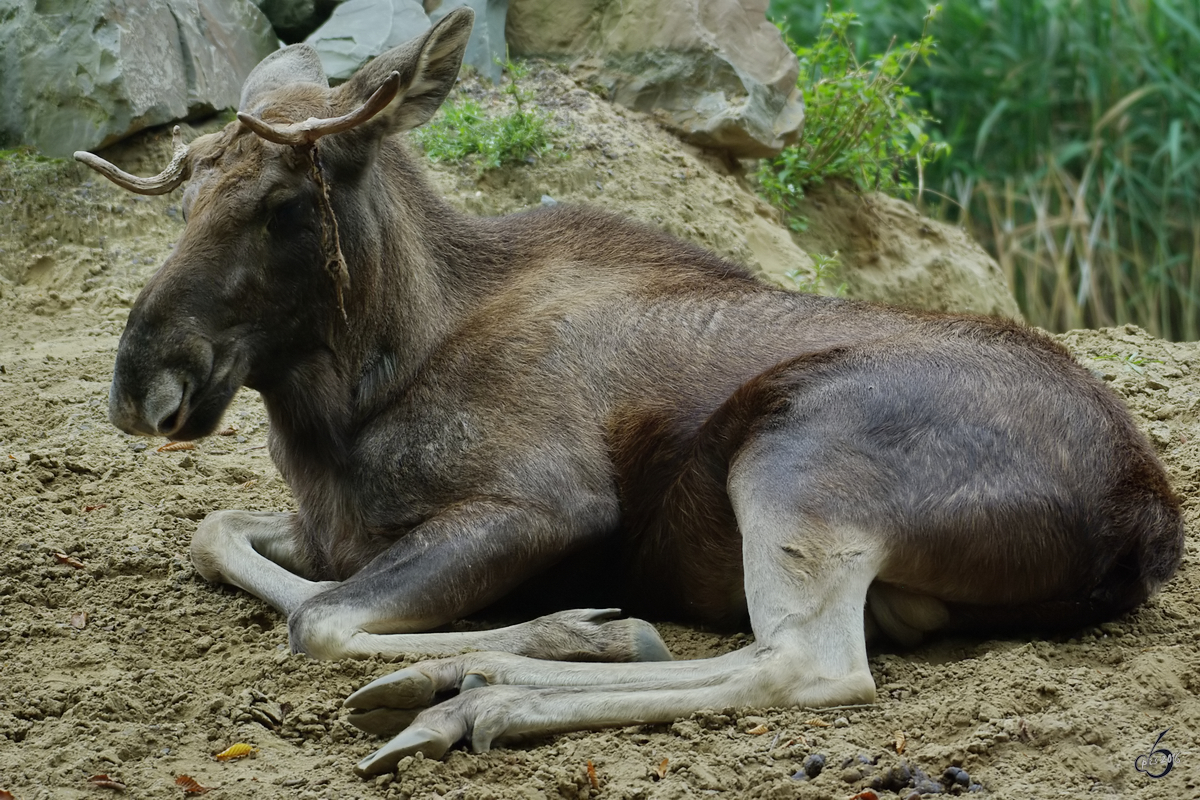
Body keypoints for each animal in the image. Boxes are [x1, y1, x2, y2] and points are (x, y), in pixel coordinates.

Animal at [79, 6, 1185, 777]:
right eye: (184, 199)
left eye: (280, 207)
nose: (141, 383)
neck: (357, 397)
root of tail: (1146, 519)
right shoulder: (332, 524)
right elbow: (216, 531)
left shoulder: (546, 501)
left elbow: (320, 617)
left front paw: (573, 625)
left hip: (799, 454)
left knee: (806, 663)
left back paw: (484, 688)